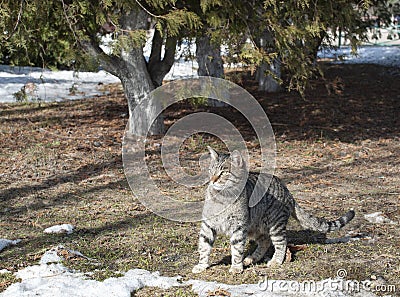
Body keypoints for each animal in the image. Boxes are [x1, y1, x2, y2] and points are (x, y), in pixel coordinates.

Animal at [192, 146, 354, 272]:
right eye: (210, 170)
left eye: (223, 172)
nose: (212, 180)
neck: (222, 197)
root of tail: (286, 190)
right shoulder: (208, 226)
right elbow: (204, 247)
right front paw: (202, 265)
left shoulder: (239, 227)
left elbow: (237, 249)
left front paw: (236, 267)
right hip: (255, 227)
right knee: (265, 241)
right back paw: (250, 259)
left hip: (274, 225)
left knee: (281, 243)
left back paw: (275, 261)